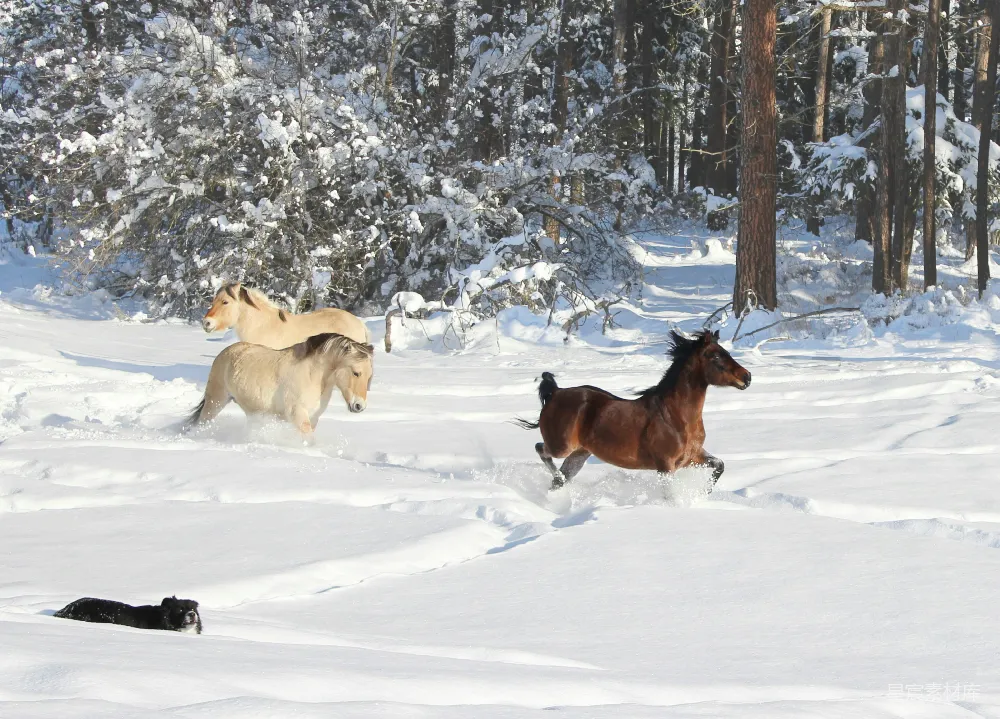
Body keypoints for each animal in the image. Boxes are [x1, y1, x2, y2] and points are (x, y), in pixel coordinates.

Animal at [186, 332, 375, 440]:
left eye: (369, 376)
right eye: (356, 373)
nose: (359, 406)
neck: (313, 376)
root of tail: (225, 353)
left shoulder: (313, 418)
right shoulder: (297, 415)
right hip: (216, 401)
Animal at [515, 330, 751, 490]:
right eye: (716, 356)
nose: (747, 377)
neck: (676, 416)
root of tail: (555, 392)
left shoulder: (692, 457)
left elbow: (719, 465)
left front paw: (703, 493)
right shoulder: (666, 465)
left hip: (580, 454)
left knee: (559, 478)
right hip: (562, 446)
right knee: (540, 449)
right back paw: (558, 480)